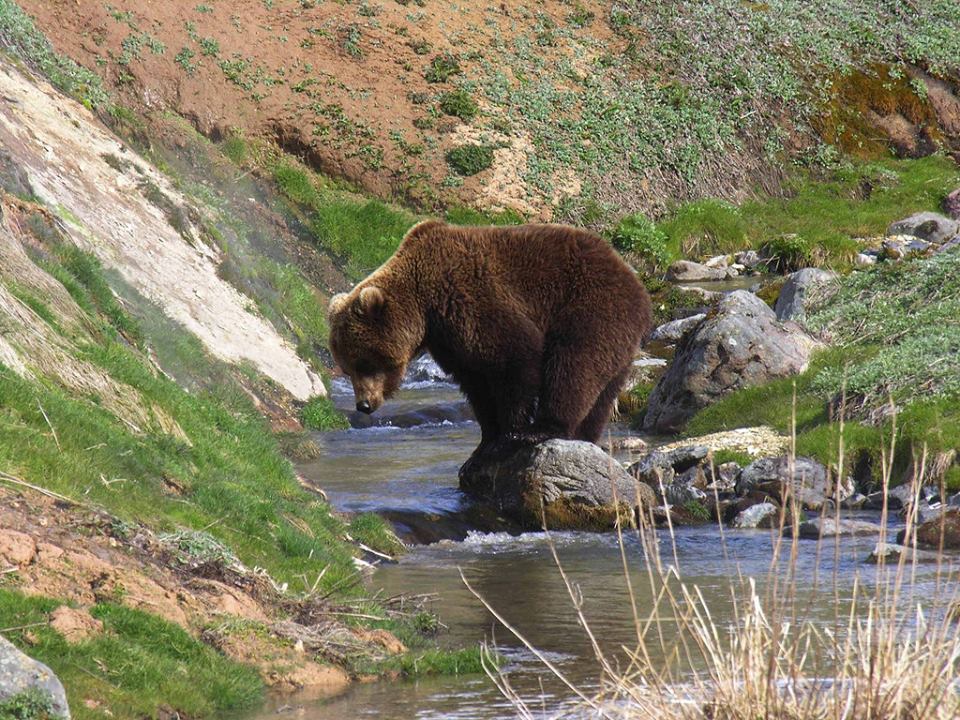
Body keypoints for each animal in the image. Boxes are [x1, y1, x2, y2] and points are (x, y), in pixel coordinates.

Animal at [330, 221, 652, 444]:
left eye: (364, 363)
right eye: (348, 369)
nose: (364, 405)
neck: (426, 306)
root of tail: (637, 284)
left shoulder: (473, 298)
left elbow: (515, 356)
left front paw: (513, 429)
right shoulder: (449, 340)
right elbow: (475, 381)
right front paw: (488, 435)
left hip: (590, 306)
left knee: (574, 364)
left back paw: (544, 429)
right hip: (617, 338)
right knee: (603, 390)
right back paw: (584, 435)